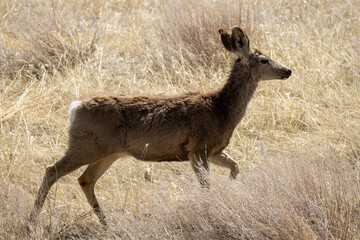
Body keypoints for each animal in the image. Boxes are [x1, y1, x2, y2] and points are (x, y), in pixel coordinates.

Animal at [29, 27, 292, 226]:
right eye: (264, 59)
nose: (287, 70)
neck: (221, 109)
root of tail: (75, 107)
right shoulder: (198, 148)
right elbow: (206, 185)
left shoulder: (213, 150)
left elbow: (236, 166)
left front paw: (229, 186)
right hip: (86, 145)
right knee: (52, 170)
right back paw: (32, 222)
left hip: (108, 152)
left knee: (85, 179)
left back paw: (105, 223)